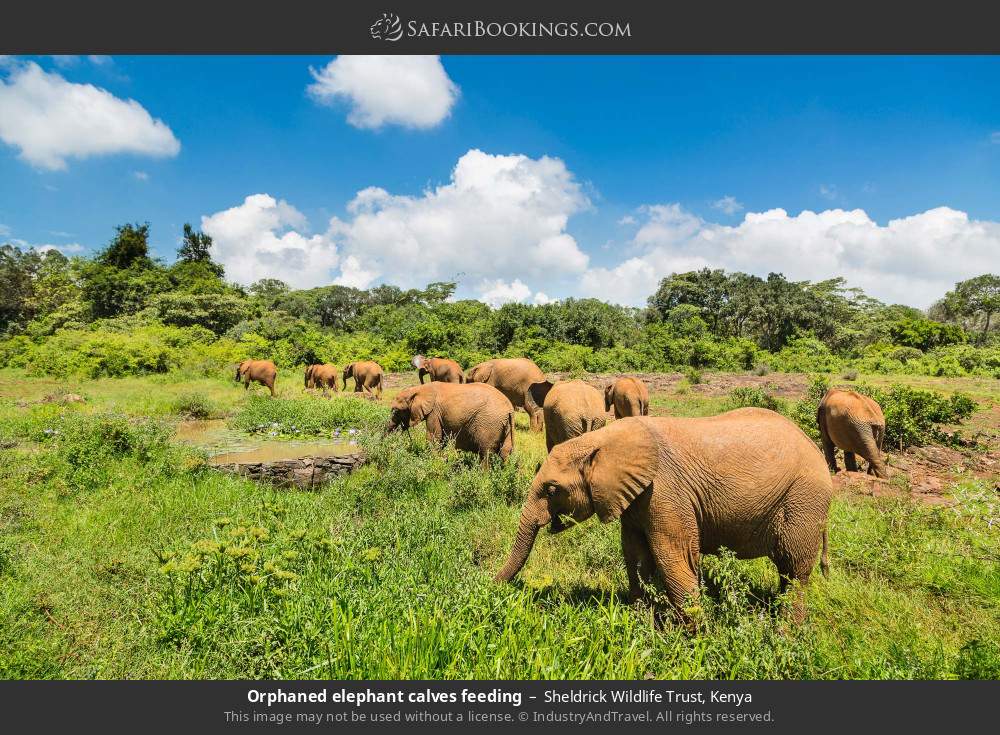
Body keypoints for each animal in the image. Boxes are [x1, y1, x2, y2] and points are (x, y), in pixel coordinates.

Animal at [386, 382, 515, 466]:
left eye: (396, 410)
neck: (419, 389)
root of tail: (509, 409)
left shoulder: (434, 412)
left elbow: (434, 437)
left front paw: (432, 461)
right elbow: (441, 439)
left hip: (489, 423)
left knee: (486, 452)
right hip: (505, 425)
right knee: (505, 452)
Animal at [495, 410, 833, 623]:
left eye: (553, 489)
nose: (491, 585)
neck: (603, 439)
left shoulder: (665, 492)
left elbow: (674, 557)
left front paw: (693, 640)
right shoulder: (633, 497)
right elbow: (636, 556)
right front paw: (643, 626)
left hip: (804, 500)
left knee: (795, 569)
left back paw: (786, 633)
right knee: (786, 571)